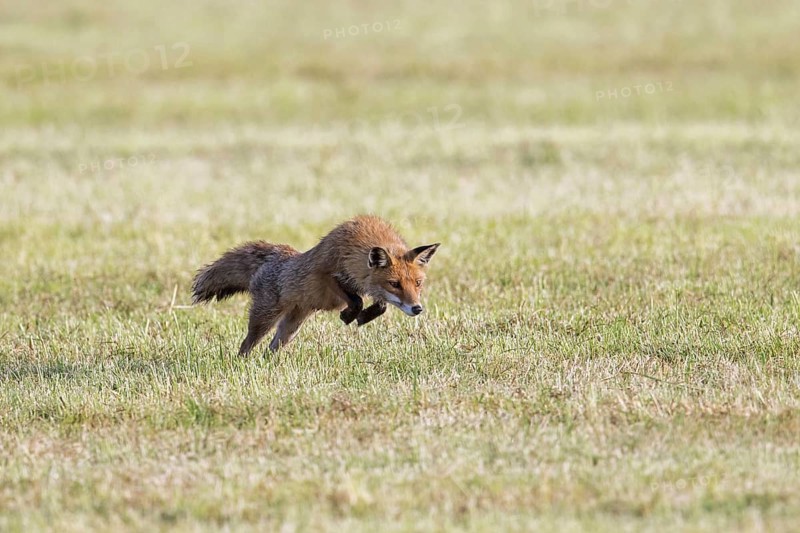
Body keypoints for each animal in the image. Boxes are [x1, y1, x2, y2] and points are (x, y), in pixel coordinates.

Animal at [192, 215, 440, 355]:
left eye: (418, 283)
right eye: (394, 284)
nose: (417, 308)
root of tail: (278, 255)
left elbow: (381, 305)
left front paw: (362, 317)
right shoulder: (328, 275)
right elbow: (356, 300)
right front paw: (349, 316)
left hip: (291, 326)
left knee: (271, 349)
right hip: (265, 319)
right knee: (246, 346)